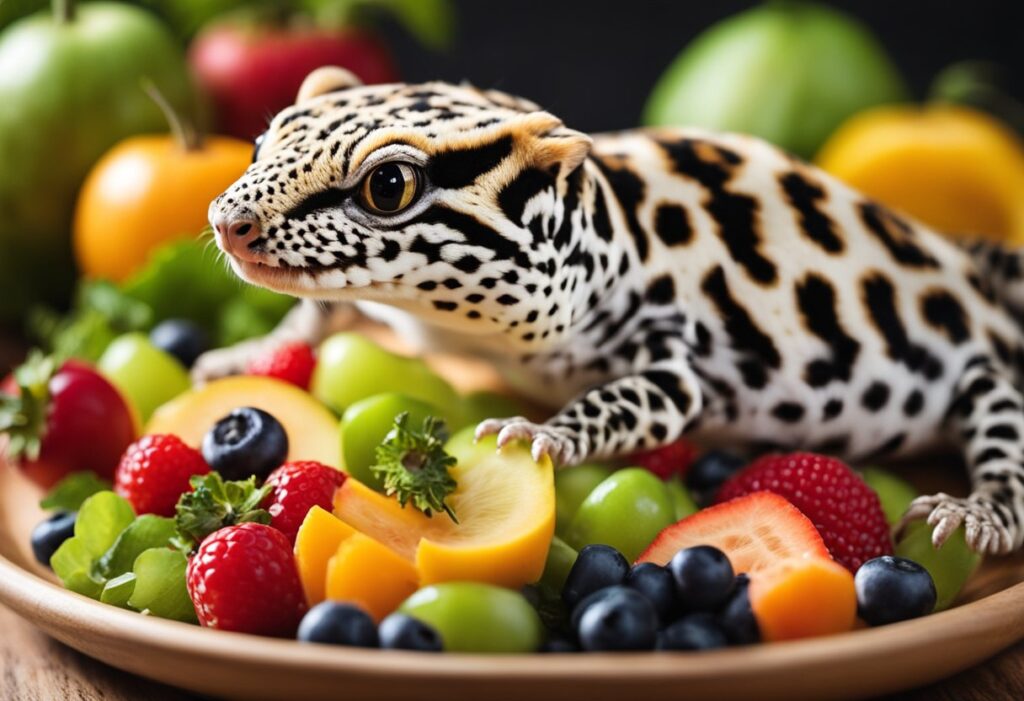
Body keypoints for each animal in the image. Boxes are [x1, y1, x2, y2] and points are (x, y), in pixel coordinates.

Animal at [197, 66, 1024, 557]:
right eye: (263, 143)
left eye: (389, 186)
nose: (228, 222)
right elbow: (320, 313)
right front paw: (249, 354)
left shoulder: (672, 356)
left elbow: (642, 398)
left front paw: (548, 433)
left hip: (986, 376)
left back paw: (979, 512)